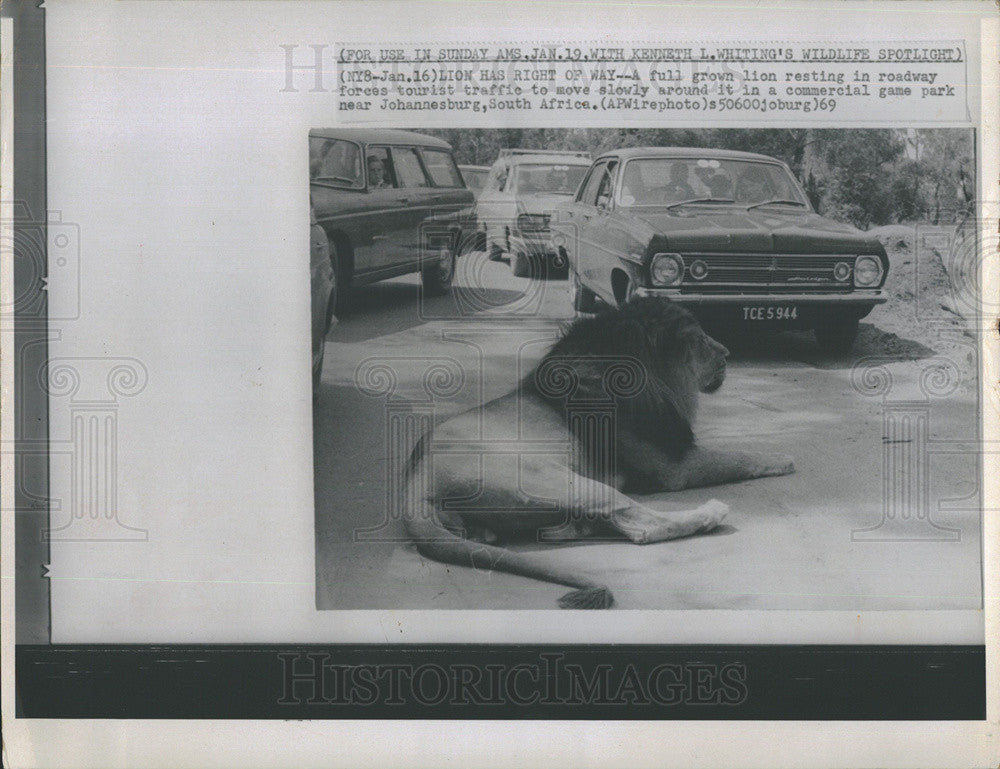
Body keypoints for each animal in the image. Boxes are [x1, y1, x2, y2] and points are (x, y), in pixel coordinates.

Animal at [402, 296, 792, 608]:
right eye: (699, 340)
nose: (728, 353)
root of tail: (415, 482)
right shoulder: (672, 466)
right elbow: (736, 456)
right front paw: (781, 458)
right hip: (549, 477)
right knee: (644, 525)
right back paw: (710, 513)